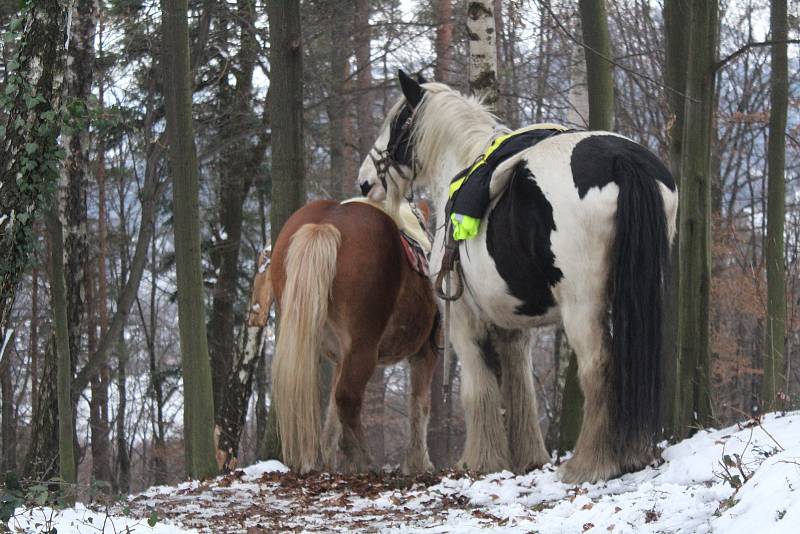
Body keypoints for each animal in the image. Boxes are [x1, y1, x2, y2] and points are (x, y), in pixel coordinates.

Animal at [250, 199, 438, 476]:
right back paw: (364, 460)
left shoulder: (340, 358)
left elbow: (330, 412)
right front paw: (419, 462)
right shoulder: (425, 352)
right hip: (363, 349)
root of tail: (325, 224)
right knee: (348, 397)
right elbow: (420, 403)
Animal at [360, 73, 680, 488]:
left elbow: (478, 388)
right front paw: (526, 458)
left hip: (583, 305)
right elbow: (518, 387)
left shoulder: (464, 320)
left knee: (598, 367)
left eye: (397, 123)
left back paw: (588, 464)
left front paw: (481, 460)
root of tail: (620, 160)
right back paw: (631, 454)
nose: (365, 182)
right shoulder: (513, 325)